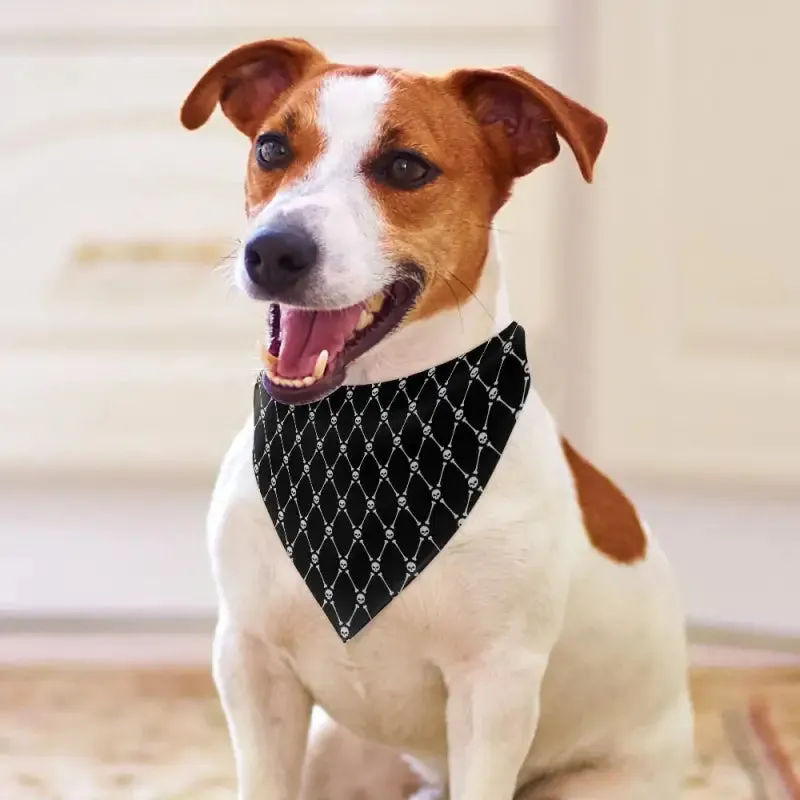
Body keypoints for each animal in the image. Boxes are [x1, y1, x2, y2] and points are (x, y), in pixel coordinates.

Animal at [181, 37, 692, 800]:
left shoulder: (494, 689)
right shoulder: (251, 662)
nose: (273, 250)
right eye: (272, 147)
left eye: (405, 167)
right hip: (338, 754)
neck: (361, 426)